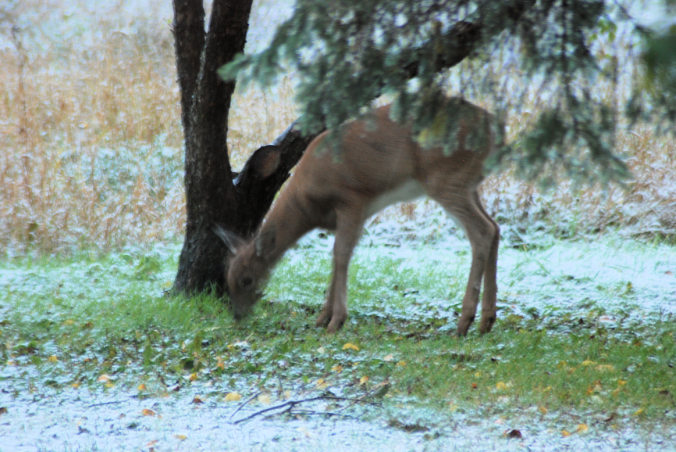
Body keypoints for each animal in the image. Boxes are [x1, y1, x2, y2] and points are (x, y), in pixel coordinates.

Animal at [214, 97, 502, 336]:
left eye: (246, 279)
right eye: (227, 277)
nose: (237, 316)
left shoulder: (352, 199)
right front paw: (322, 318)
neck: (307, 204)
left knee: (482, 231)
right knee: (495, 227)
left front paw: (335, 320)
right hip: (467, 183)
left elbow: (341, 254)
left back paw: (464, 323)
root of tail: (495, 127)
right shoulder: (354, 214)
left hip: (445, 178)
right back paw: (487, 320)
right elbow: (336, 256)